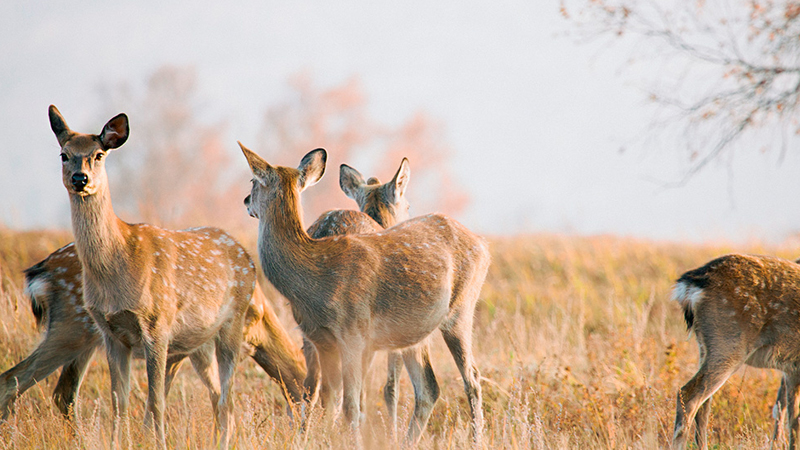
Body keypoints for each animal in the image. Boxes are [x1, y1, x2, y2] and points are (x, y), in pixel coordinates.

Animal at [0, 243, 306, 422]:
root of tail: (41, 271)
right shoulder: (195, 346)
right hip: (72, 328)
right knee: (12, 381)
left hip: (87, 338)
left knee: (63, 394)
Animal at [47, 104, 253, 446]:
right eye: (64, 154)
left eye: (99, 154)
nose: (80, 178)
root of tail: (245, 254)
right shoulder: (110, 332)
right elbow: (119, 402)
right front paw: (117, 443)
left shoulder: (158, 323)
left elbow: (156, 402)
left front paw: (160, 444)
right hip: (199, 342)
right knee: (217, 395)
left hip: (233, 321)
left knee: (228, 399)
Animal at [238, 145, 490, 446]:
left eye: (253, 182)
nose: (246, 200)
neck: (316, 273)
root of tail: (482, 245)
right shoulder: (322, 340)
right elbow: (329, 400)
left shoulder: (354, 333)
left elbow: (352, 405)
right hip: (414, 332)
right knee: (429, 388)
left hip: (461, 310)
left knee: (472, 378)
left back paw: (476, 440)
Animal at [672, 255, 800, 448]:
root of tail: (690, 285)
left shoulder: (792, 370)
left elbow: (791, 421)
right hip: (729, 344)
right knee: (688, 395)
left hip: (705, 347)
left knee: (703, 405)